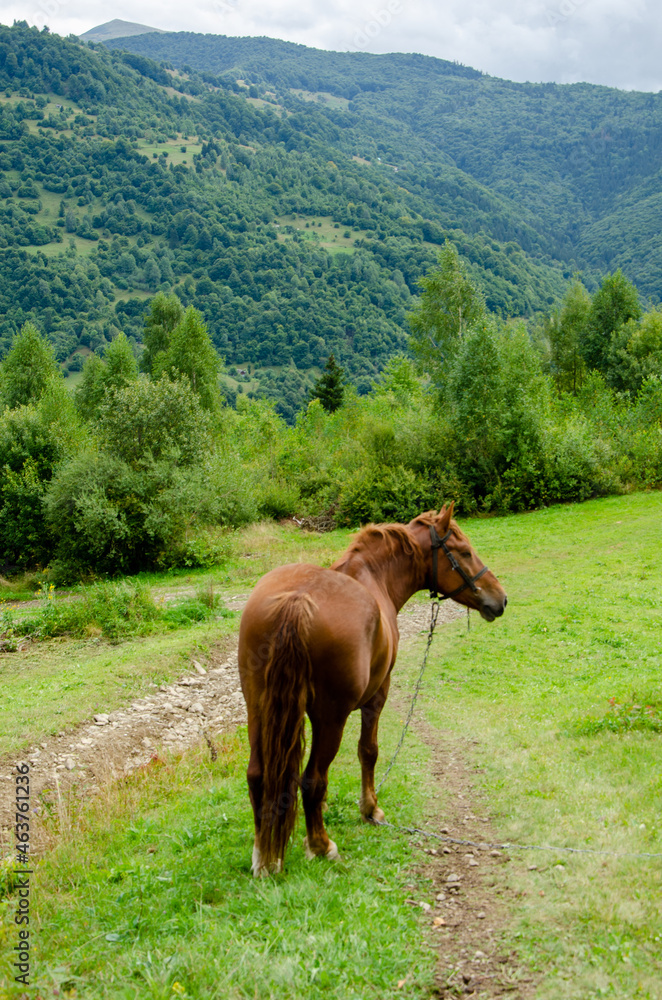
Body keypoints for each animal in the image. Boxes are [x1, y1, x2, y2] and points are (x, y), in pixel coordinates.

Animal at [238, 503, 507, 876]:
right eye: (464, 552)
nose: (500, 599)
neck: (373, 578)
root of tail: (296, 600)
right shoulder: (377, 696)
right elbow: (369, 751)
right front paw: (370, 809)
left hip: (258, 708)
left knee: (258, 775)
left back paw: (263, 856)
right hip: (330, 719)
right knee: (312, 779)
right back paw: (321, 845)